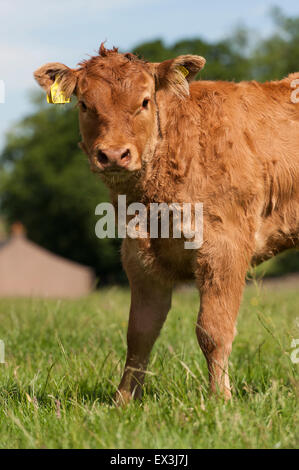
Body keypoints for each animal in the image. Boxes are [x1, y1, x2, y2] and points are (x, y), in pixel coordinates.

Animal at [35, 44, 299, 402]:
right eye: (84, 104)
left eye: (145, 101)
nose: (114, 155)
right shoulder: (140, 255)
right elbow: (139, 333)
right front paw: (123, 401)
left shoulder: (225, 247)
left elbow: (212, 331)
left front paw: (220, 399)